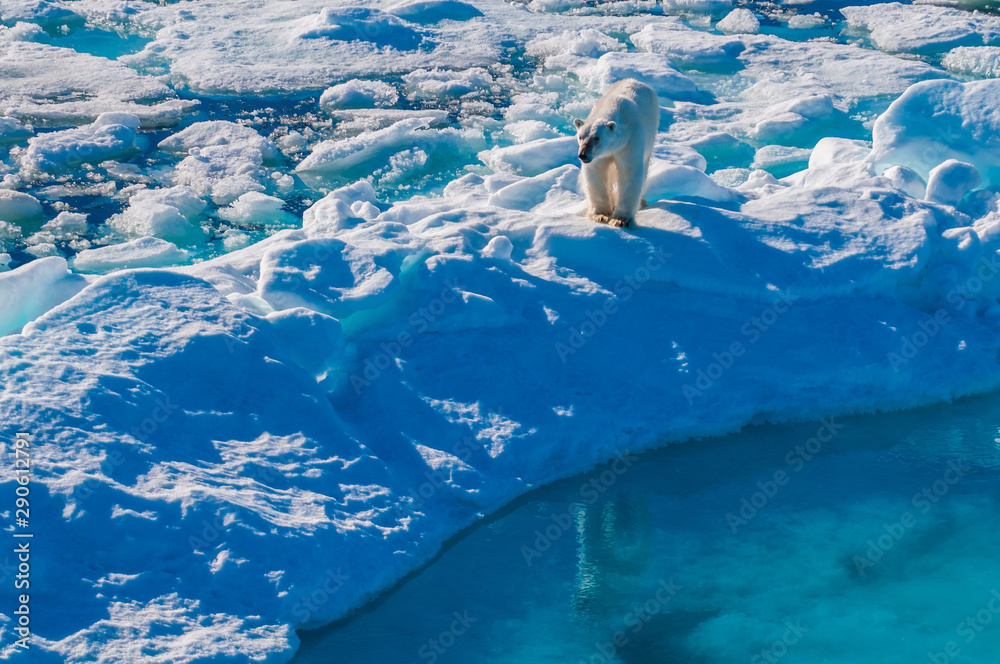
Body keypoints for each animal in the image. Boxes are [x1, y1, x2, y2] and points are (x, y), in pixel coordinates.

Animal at [574, 79, 659, 229]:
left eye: (597, 138)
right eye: (580, 136)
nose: (583, 155)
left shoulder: (630, 141)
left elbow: (629, 171)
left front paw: (621, 220)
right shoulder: (600, 156)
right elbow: (596, 172)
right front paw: (601, 215)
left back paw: (641, 202)